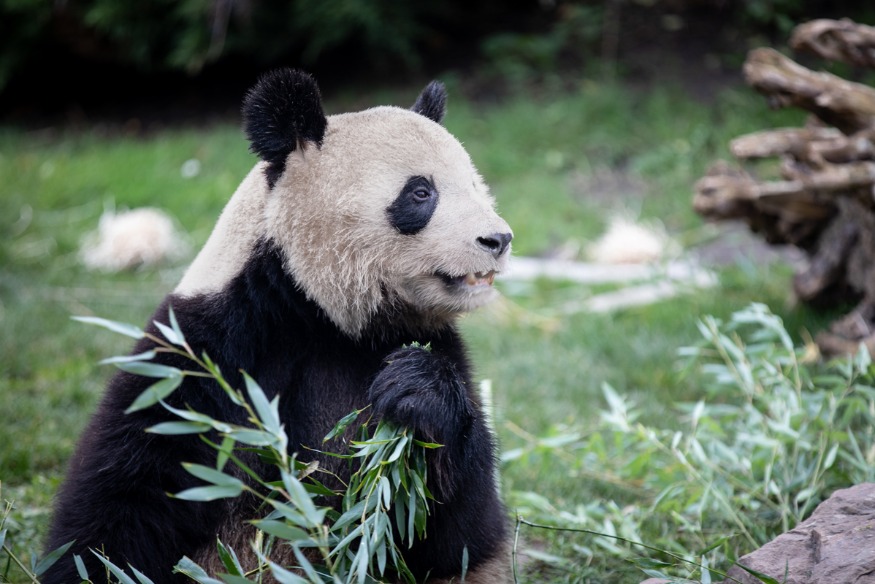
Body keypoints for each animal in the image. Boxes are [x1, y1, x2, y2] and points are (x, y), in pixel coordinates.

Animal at [42, 68, 512, 584]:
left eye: (476, 185)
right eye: (421, 192)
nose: (498, 239)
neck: (326, 315)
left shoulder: (434, 345)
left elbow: (454, 535)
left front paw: (417, 390)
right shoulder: (211, 346)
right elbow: (128, 486)